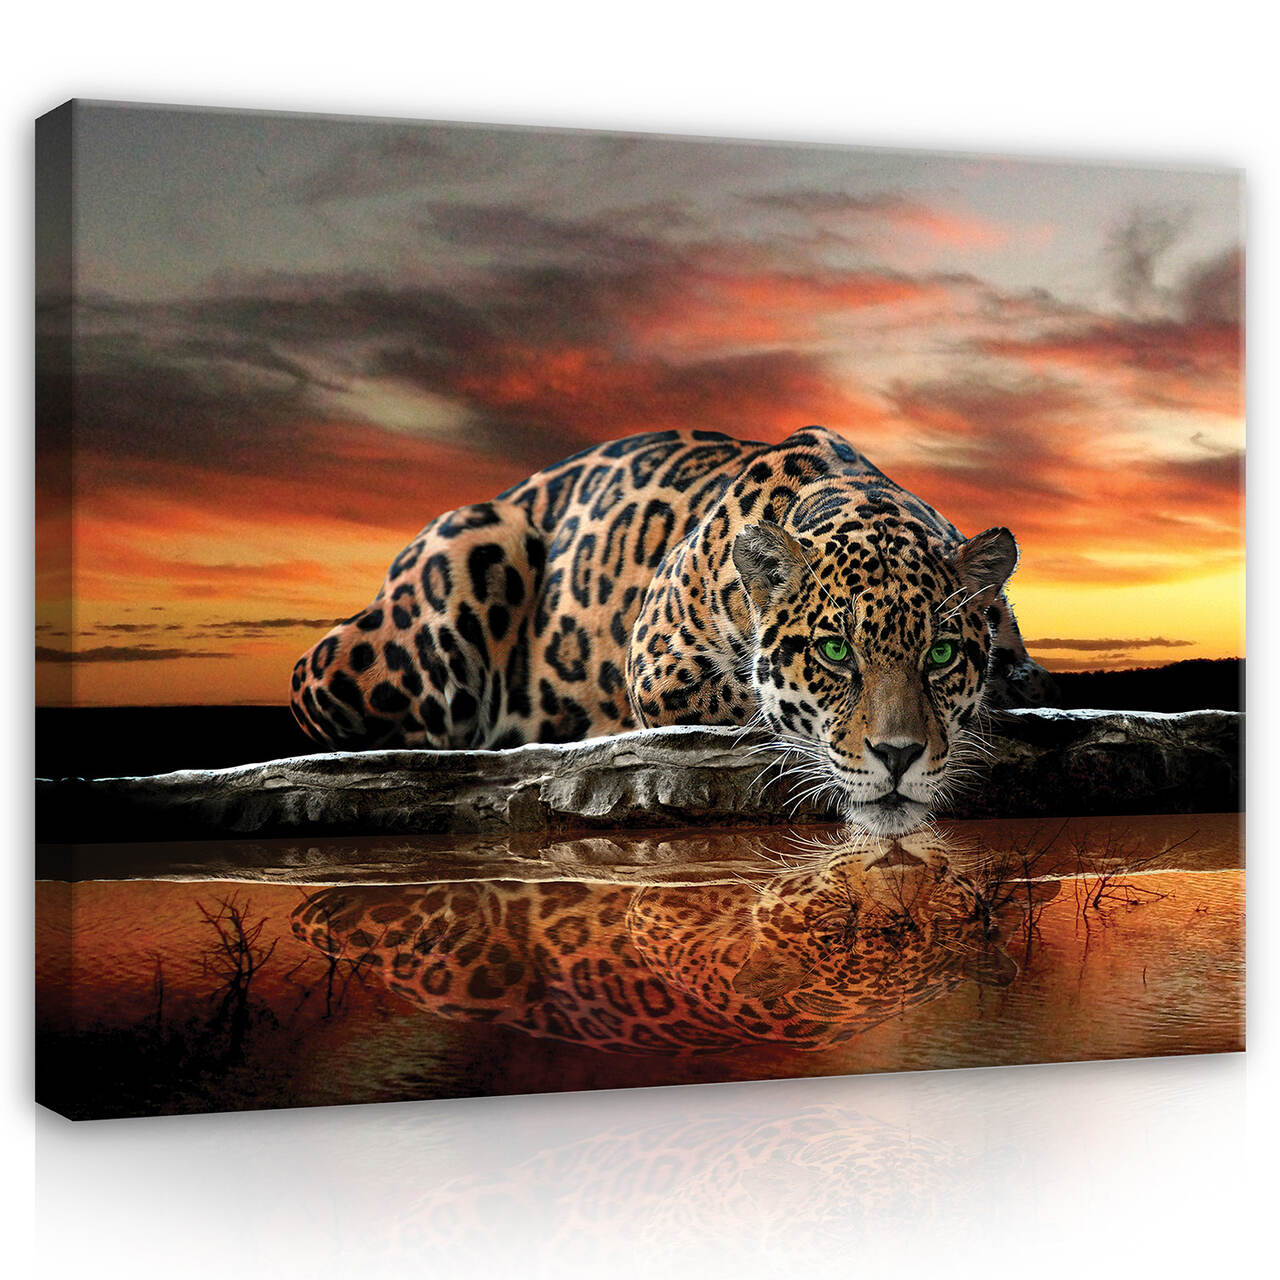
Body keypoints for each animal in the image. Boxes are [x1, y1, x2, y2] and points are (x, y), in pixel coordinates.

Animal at [291, 425, 1055, 835]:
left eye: (941, 653)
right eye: (836, 653)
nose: (899, 756)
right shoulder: (660, 665)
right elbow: (753, 700)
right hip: (465, 553)